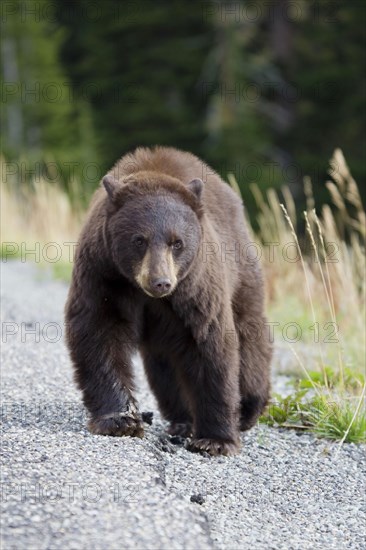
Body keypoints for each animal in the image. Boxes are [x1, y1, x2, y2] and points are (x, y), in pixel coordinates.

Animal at [65, 147, 272, 458]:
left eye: (177, 243)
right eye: (139, 240)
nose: (160, 281)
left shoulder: (196, 288)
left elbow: (210, 344)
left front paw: (215, 439)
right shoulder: (104, 273)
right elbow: (98, 330)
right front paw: (120, 419)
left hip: (241, 271)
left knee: (250, 335)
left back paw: (248, 407)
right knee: (165, 368)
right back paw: (183, 420)